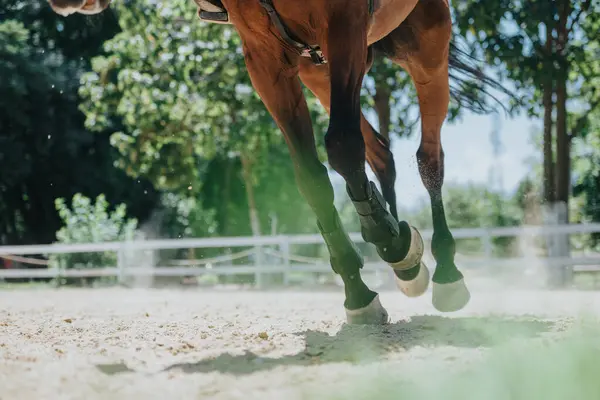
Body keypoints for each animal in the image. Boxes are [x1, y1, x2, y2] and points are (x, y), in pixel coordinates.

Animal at [47, 0, 476, 324]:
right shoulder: (267, 60)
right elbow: (311, 177)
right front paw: (360, 291)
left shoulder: (345, 21)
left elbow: (340, 146)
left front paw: (389, 242)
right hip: (319, 70)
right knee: (380, 153)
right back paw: (406, 264)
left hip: (424, 46)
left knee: (428, 158)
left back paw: (445, 271)